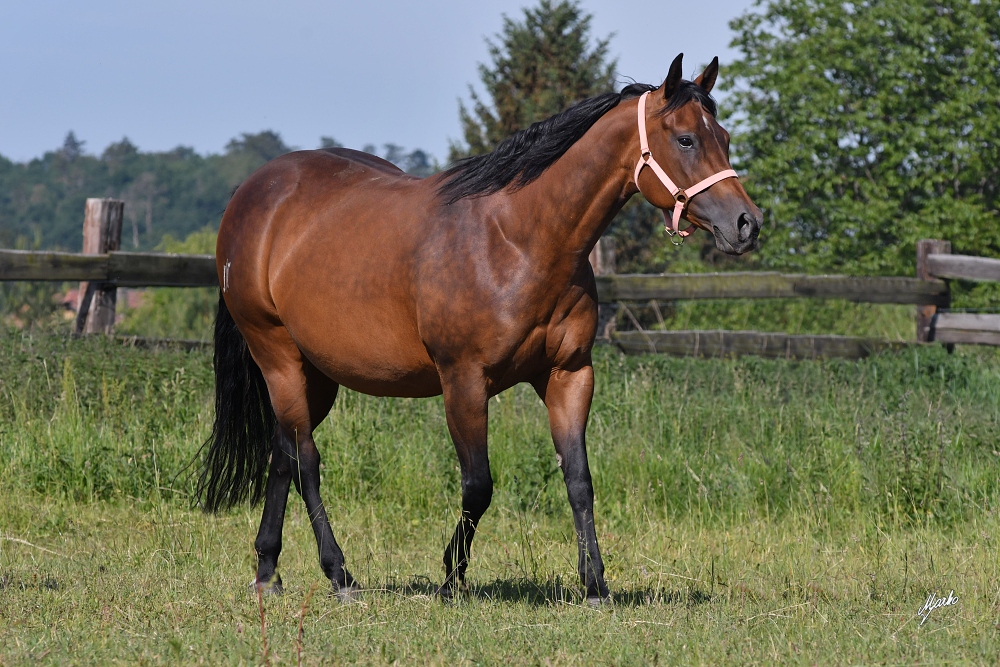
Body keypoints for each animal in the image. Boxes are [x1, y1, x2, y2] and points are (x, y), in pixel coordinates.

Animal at [195, 53, 760, 604]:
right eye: (685, 139)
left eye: (724, 136)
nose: (747, 224)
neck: (517, 239)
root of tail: (253, 195)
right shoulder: (463, 381)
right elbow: (478, 485)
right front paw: (451, 579)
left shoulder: (569, 375)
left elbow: (579, 479)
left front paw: (595, 585)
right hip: (278, 355)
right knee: (306, 460)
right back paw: (340, 575)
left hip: (318, 373)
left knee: (283, 452)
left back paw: (268, 570)